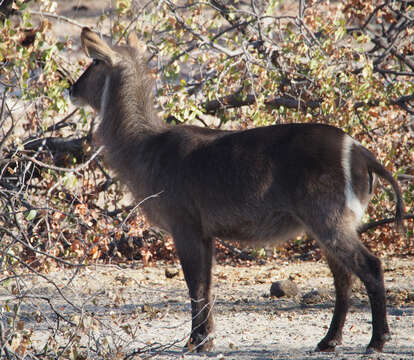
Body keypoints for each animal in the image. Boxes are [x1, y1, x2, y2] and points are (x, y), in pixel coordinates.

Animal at [70, 28, 404, 354]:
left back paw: (376, 341)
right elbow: (206, 284)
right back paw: (328, 341)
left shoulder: (183, 224)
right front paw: (205, 338)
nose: (71, 89)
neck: (145, 147)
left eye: (95, 60)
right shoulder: (204, 232)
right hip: (326, 226)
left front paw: (197, 341)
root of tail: (362, 153)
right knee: (344, 278)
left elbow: (194, 284)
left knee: (370, 266)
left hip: (329, 220)